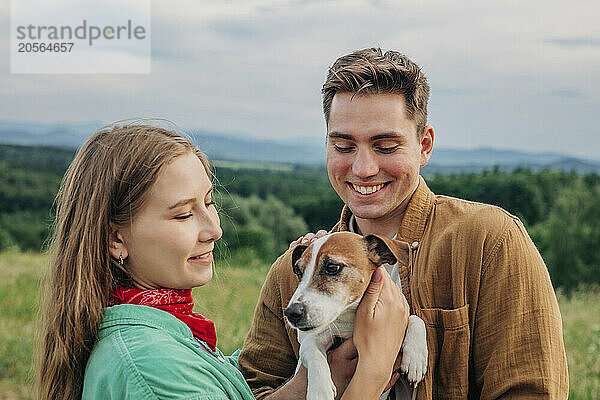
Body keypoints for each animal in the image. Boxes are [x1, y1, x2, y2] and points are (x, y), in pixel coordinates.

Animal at [284, 231, 428, 400]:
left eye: (332, 267)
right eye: (299, 272)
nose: (291, 313)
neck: (349, 318)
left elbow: (415, 318)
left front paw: (415, 358)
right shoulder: (313, 338)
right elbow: (313, 353)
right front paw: (320, 390)